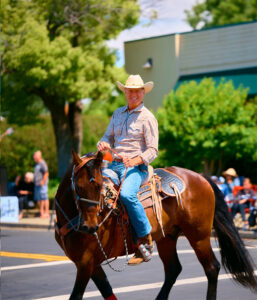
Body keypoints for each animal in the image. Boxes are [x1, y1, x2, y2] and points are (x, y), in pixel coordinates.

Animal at [54, 151, 256, 298]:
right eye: (78, 187)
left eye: (99, 187)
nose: (90, 227)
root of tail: (201, 177)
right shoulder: (91, 264)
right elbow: (107, 291)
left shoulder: (86, 263)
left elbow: (77, 296)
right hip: (168, 237)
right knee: (173, 270)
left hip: (199, 236)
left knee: (212, 268)